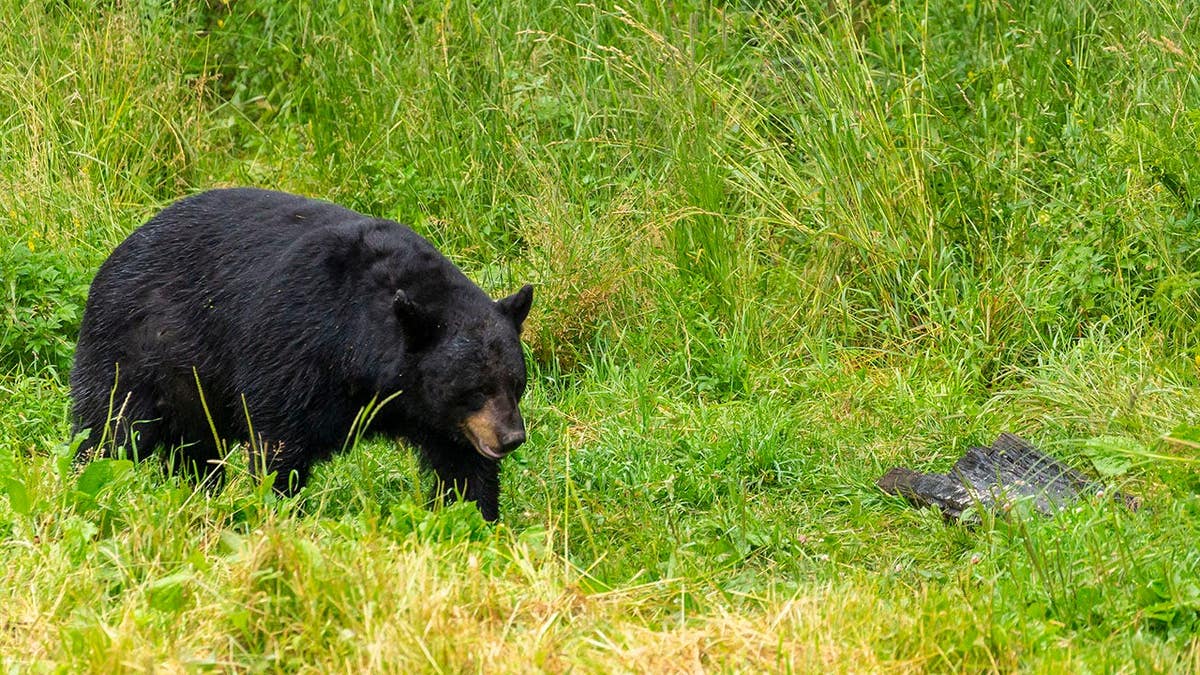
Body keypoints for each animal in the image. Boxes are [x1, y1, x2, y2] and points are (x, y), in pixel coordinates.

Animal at [69, 187, 532, 521]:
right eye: (474, 389)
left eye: (516, 384)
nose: (512, 437)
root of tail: (117, 251)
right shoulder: (294, 347)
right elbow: (279, 442)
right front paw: (278, 510)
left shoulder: (435, 415)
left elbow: (463, 466)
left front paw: (479, 519)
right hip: (136, 350)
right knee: (108, 428)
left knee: (195, 451)